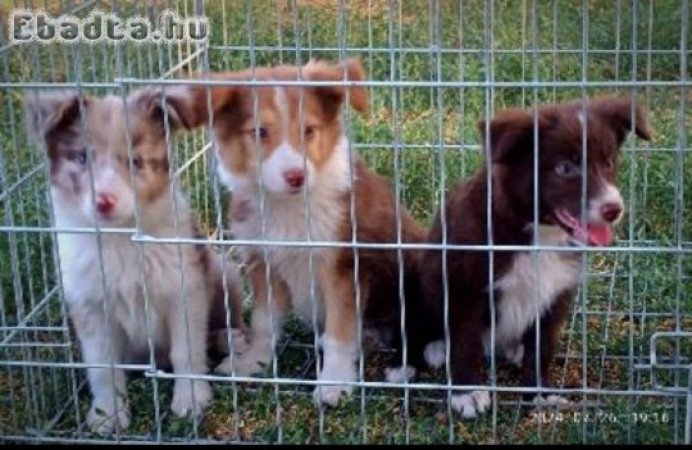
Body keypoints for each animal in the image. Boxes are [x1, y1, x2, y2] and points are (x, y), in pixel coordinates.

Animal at [24, 89, 245, 436]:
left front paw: (192, 400)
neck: (122, 238)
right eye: (82, 158)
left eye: (136, 161)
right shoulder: (90, 305)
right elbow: (103, 366)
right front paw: (107, 415)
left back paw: (230, 339)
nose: (104, 201)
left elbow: (187, 350)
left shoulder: (184, 290)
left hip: (225, 273)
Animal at [169, 58, 428, 406]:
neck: (288, 208)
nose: (296, 176)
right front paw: (253, 362)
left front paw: (333, 382)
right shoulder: (263, 262)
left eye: (309, 131)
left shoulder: (342, 269)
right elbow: (264, 322)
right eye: (260, 132)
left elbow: (339, 332)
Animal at [392, 97, 652, 418]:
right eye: (565, 168)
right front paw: (466, 394)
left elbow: (541, 349)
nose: (614, 209)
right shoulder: (464, 287)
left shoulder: (556, 295)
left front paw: (540, 394)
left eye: (608, 163)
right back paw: (417, 358)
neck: (537, 234)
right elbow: (465, 343)